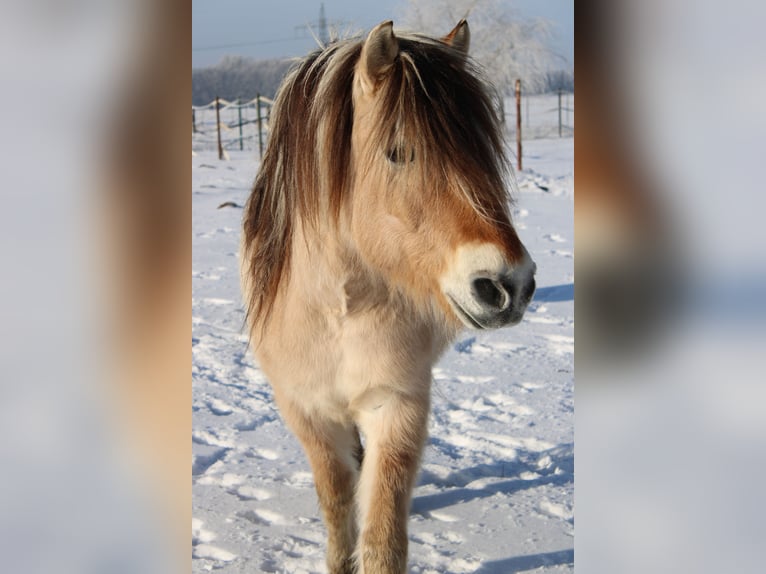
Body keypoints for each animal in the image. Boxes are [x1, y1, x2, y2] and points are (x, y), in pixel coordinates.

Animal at [240, 20, 536, 574]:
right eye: (398, 152)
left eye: (483, 151)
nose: (510, 285)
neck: (336, 313)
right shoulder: (305, 410)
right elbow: (337, 502)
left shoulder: (398, 404)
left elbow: (382, 537)